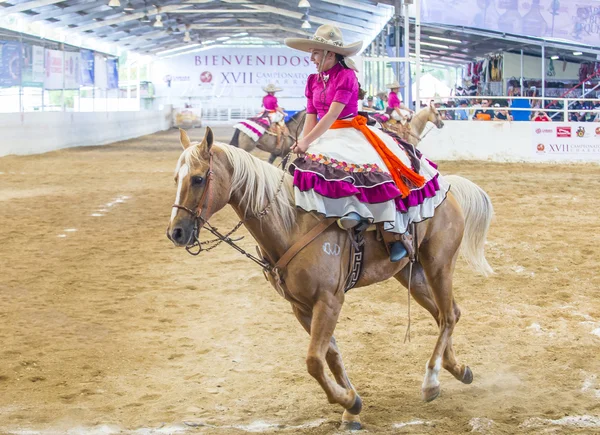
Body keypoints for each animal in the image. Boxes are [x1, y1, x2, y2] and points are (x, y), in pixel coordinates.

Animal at [168, 127, 492, 430]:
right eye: (175, 179)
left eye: (198, 179)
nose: (176, 233)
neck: (291, 223)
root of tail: (446, 189)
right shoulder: (301, 307)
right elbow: (331, 355)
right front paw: (352, 407)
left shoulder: (329, 300)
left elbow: (314, 360)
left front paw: (348, 401)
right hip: (412, 276)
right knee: (446, 314)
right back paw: (458, 369)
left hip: (439, 265)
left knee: (448, 316)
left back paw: (431, 381)